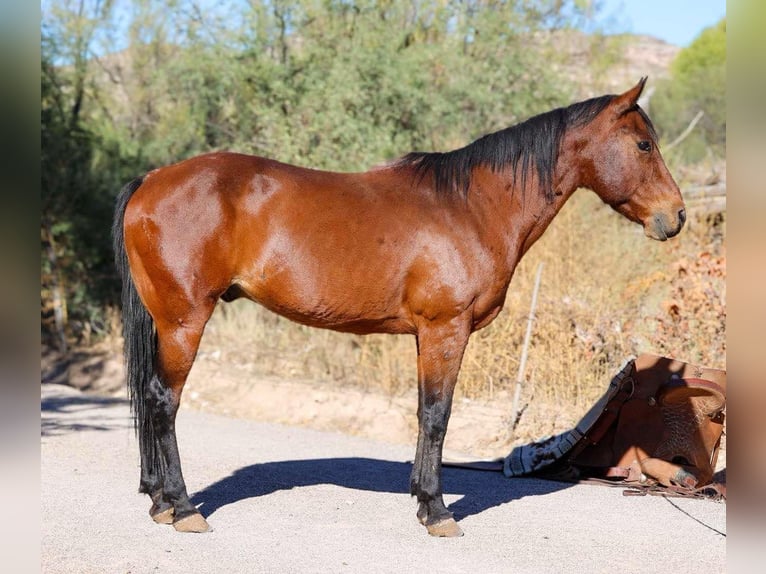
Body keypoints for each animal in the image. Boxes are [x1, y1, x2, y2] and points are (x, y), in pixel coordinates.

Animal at [113, 78, 685, 537]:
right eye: (643, 143)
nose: (675, 216)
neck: (471, 207)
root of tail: (152, 179)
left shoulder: (425, 336)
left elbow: (423, 413)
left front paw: (423, 498)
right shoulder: (445, 330)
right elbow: (436, 415)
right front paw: (437, 511)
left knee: (150, 397)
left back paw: (160, 501)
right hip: (185, 320)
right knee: (163, 401)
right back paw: (184, 508)